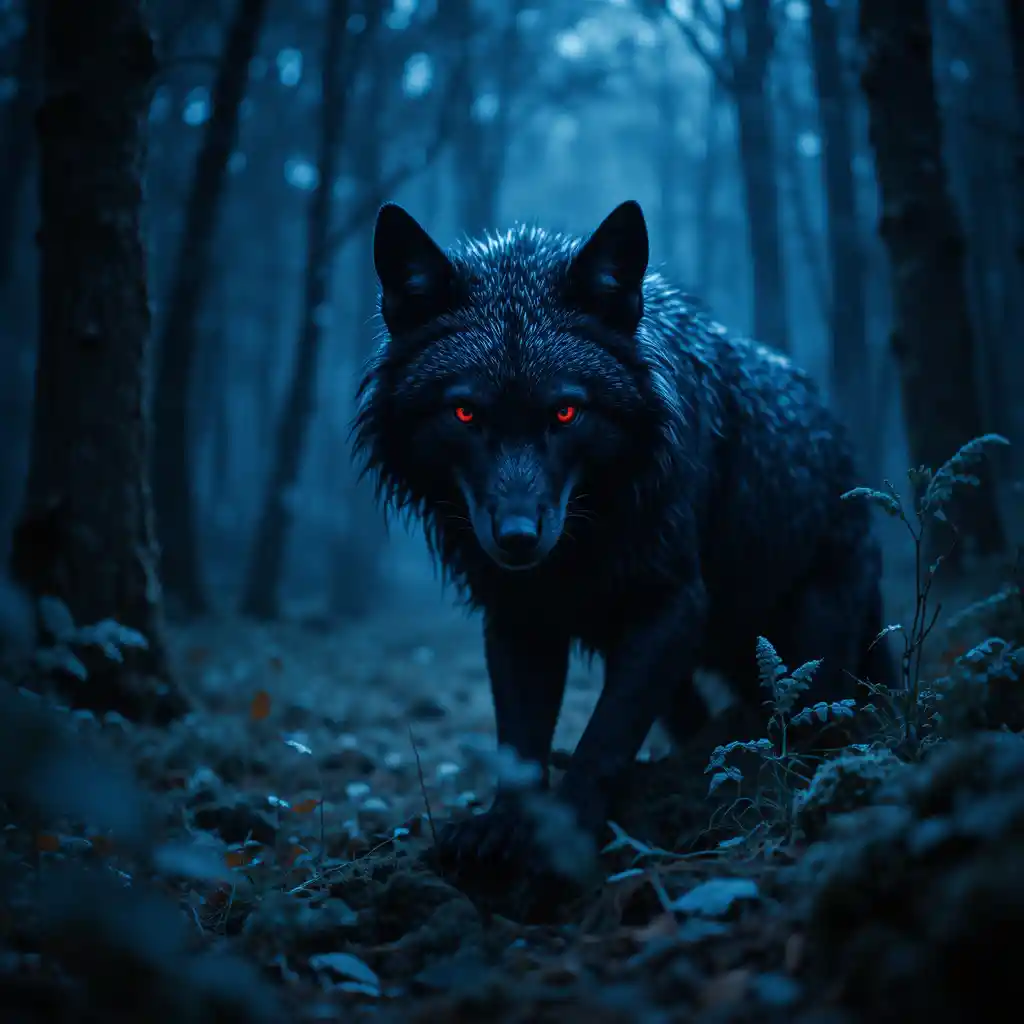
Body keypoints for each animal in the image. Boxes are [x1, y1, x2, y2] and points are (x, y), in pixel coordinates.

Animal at [353, 200, 893, 872]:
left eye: (565, 413)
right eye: (464, 413)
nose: (517, 538)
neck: (587, 532)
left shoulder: (673, 607)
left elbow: (607, 733)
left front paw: (569, 832)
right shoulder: (520, 619)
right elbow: (520, 741)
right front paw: (503, 825)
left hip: (811, 641)